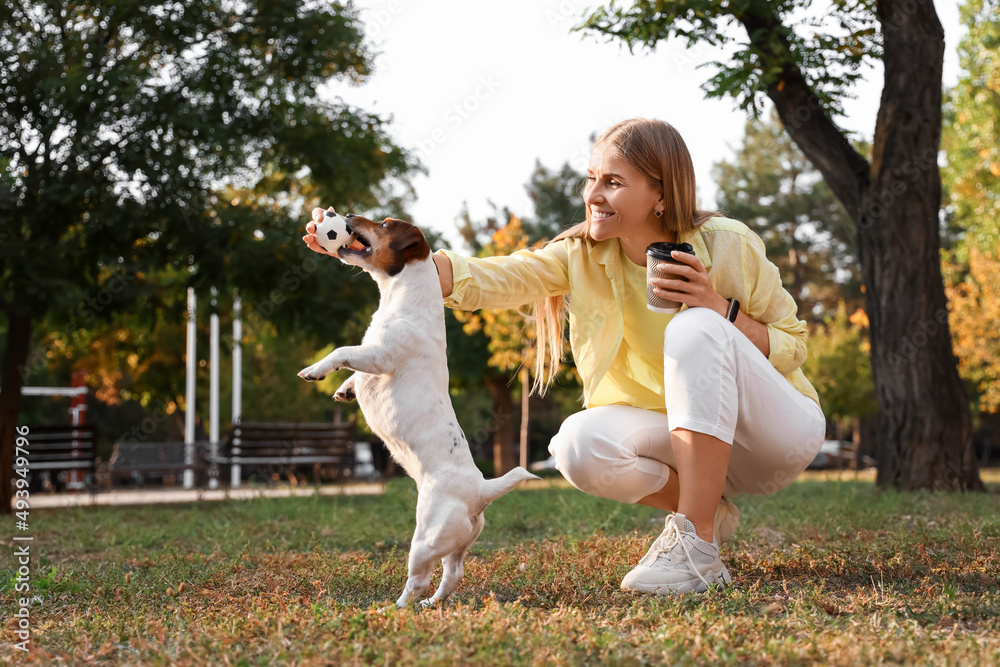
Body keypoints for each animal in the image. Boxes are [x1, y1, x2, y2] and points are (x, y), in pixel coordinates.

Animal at [298, 211, 540, 608]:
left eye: (383, 223)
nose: (343, 215)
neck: (403, 300)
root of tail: (481, 491)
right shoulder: (370, 356)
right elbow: (353, 373)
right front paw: (344, 390)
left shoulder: (379, 356)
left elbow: (343, 352)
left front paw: (316, 370)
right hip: (455, 544)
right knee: (453, 573)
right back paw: (432, 604)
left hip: (425, 538)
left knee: (418, 580)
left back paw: (393, 609)